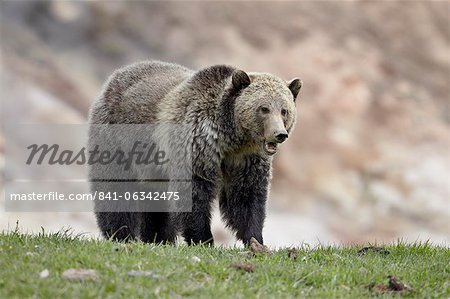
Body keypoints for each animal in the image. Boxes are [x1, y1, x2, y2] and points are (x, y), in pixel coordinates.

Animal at [88, 61, 300, 246]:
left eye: (284, 110)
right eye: (264, 108)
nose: (280, 134)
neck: (232, 139)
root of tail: (115, 76)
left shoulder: (246, 161)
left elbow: (247, 197)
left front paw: (256, 240)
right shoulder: (197, 145)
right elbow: (193, 193)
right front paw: (203, 239)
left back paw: (159, 239)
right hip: (117, 139)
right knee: (115, 188)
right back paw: (120, 234)